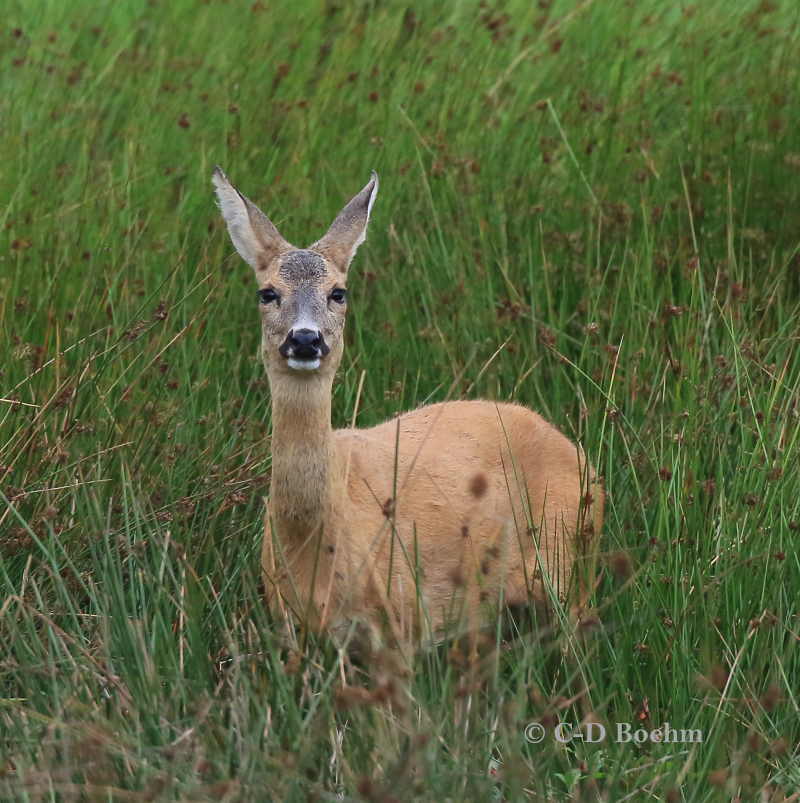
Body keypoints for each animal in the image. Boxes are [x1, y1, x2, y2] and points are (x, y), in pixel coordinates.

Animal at [212, 167, 603, 659]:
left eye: (338, 292)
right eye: (267, 293)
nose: (305, 339)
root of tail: (580, 457)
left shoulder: (398, 618)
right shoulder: (288, 628)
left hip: (571, 561)